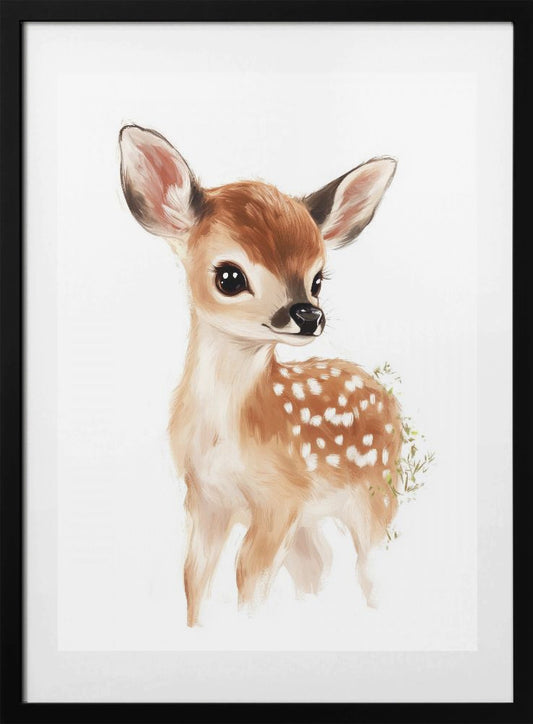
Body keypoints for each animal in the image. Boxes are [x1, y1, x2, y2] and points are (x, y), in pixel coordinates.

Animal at [119, 124, 401, 626]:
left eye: (318, 279)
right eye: (229, 276)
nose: (308, 315)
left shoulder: (280, 498)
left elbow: (247, 578)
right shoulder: (204, 498)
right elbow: (194, 578)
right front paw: (197, 627)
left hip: (377, 494)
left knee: (371, 569)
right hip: (316, 515)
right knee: (318, 563)